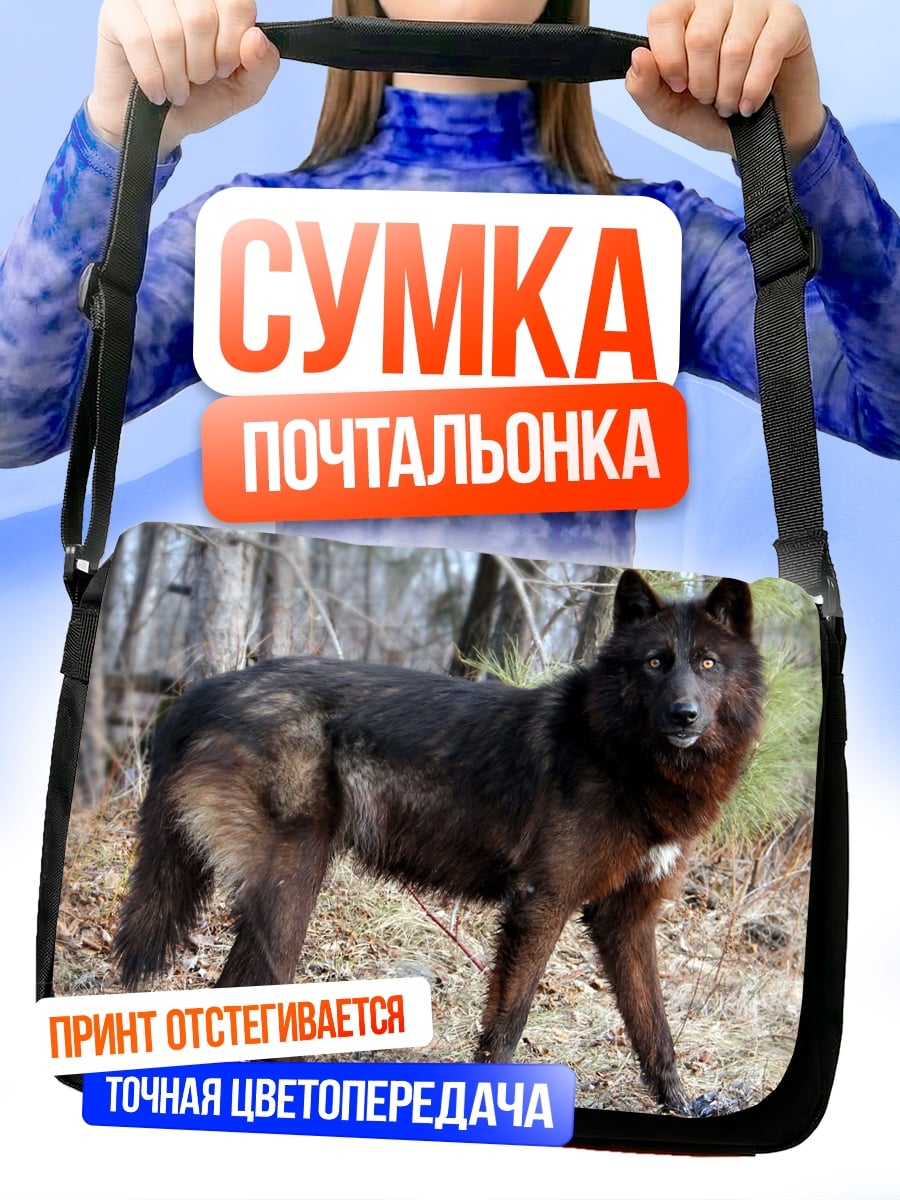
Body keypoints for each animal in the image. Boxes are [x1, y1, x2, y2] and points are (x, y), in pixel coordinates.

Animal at [114, 569, 764, 1113]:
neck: (620, 752)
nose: (683, 714)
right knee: (245, 988)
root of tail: (204, 691)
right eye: (656, 662)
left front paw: (681, 1106)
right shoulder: (542, 903)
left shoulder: (625, 919)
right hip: (292, 888)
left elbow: (655, 1027)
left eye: (707, 663)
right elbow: (509, 1021)